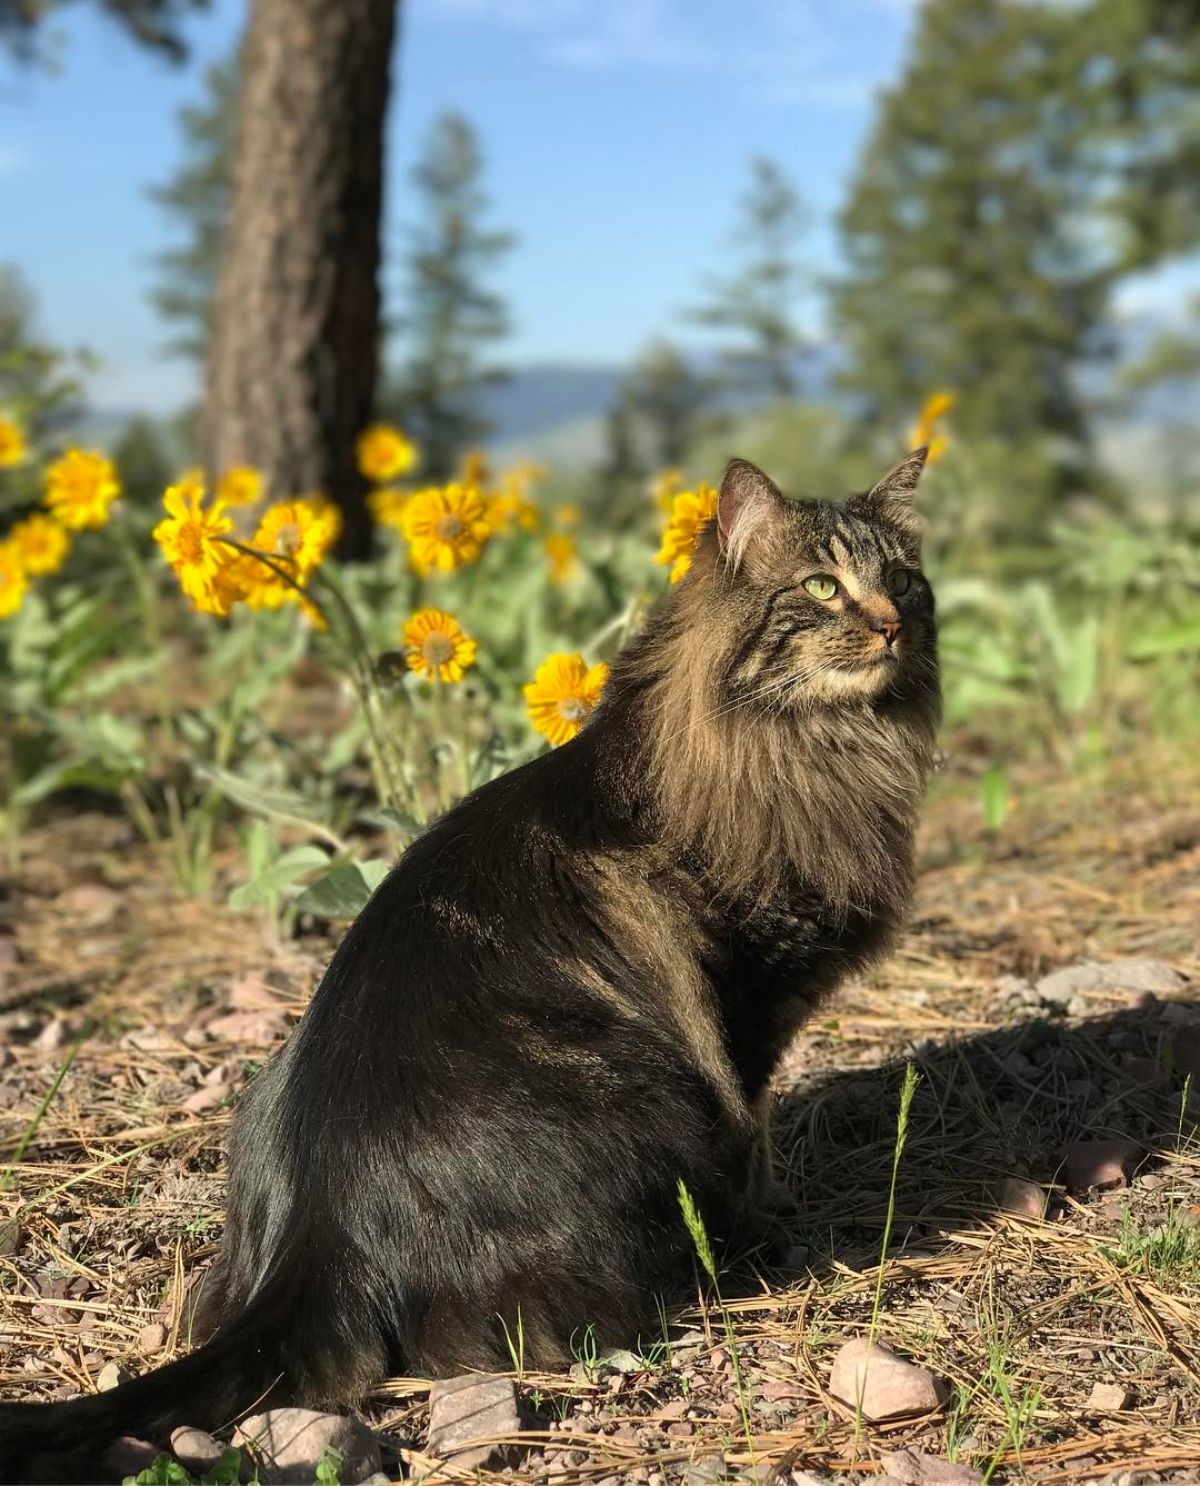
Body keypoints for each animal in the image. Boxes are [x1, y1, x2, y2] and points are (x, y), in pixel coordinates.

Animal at [0, 451, 938, 1486]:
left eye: (903, 580)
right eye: (822, 587)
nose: (892, 623)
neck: (813, 748)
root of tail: (321, 1233)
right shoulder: (747, 1002)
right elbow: (754, 1123)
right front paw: (772, 1217)